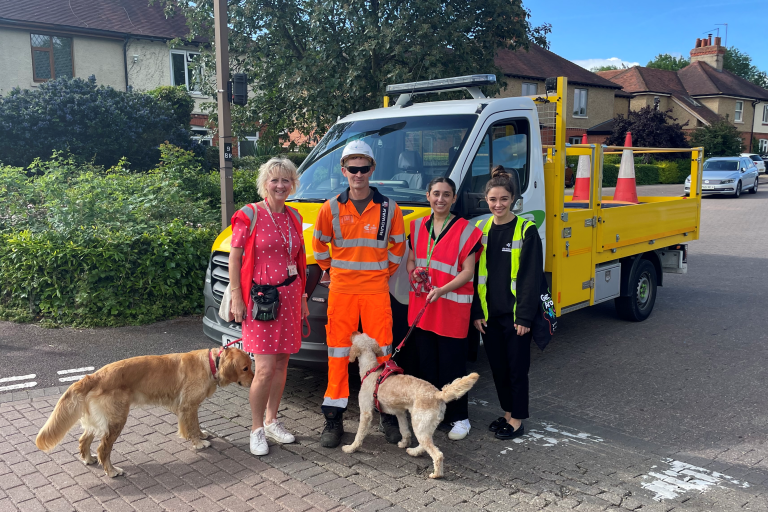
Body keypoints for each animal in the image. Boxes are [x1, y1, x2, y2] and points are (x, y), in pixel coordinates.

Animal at [36, 346, 254, 478]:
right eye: (245, 368)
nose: (254, 382)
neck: (211, 363)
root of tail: (93, 376)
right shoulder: (188, 406)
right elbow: (191, 426)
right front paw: (199, 443)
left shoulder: (190, 406)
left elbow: (195, 425)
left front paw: (201, 435)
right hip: (116, 421)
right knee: (103, 449)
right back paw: (111, 471)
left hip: (100, 421)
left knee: (84, 440)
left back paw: (88, 459)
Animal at [344, 334, 476, 478]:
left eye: (358, 335)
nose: (353, 332)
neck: (371, 369)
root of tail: (437, 394)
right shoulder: (400, 412)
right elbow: (404, 430)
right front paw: (404, 443)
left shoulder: (366, 412)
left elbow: (359, 434)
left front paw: (351, 448)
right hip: (424, 425)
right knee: (425, 445)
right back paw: (414, 452)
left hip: (420, 425)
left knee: (437, 454)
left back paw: (436, 474)